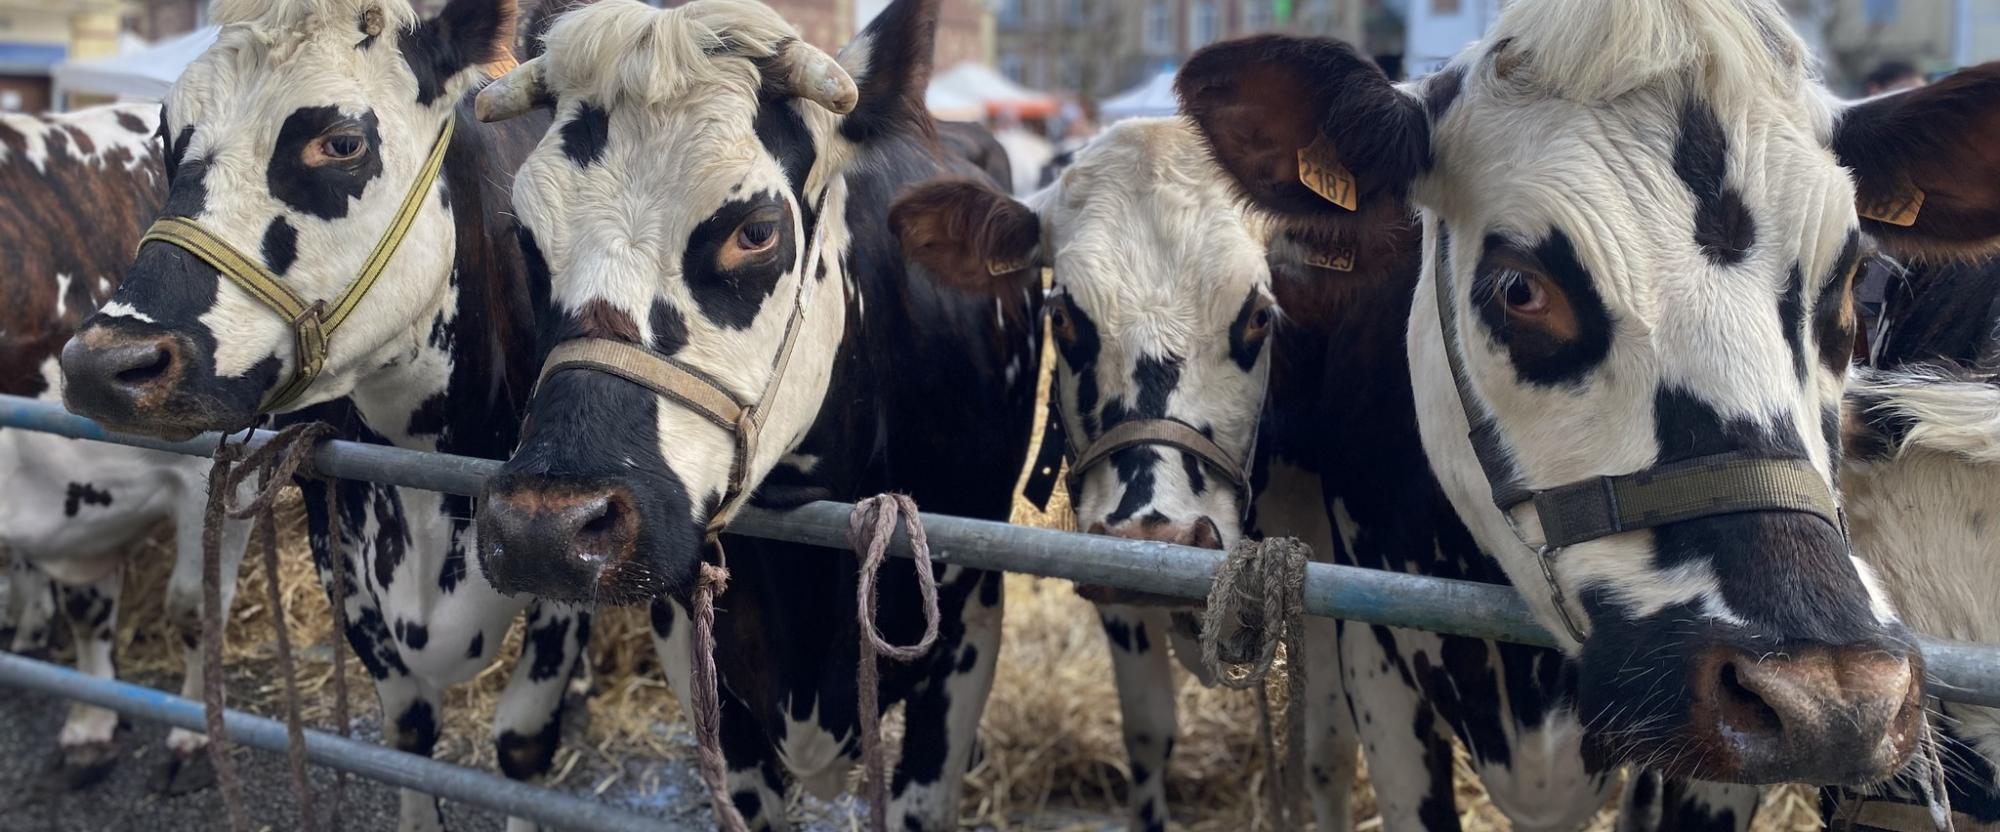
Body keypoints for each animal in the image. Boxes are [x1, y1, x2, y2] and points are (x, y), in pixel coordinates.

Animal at [53, 1, 592, 829]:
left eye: (340, 141)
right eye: (163, 138)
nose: (103, 366)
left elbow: (521, 749)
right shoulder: (336, 546)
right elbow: (408, 733)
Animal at [892, 115, 1768, 831]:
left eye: (1256, 314)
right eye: (1066, 315)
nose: (1164, 532)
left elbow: (1321, 758)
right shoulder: (1116, 575)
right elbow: (1148, 735)